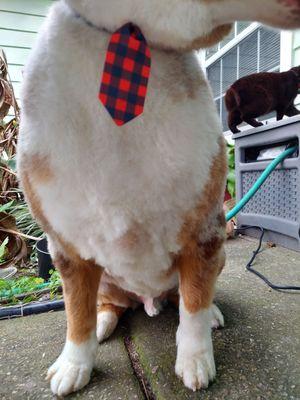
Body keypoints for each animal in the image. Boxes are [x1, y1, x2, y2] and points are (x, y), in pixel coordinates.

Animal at [17, 0, 300, 396]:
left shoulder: (204, 235)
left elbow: (194, 301)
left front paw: (195, 357)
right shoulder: (66, 249)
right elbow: (76, 312)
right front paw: (74, 363)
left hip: (218, 255)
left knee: (186, 295)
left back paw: (209, 314)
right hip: (107, 279)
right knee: (107, 304)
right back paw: (103, 322)